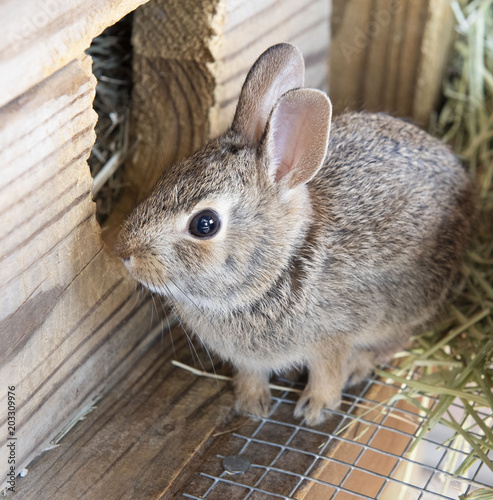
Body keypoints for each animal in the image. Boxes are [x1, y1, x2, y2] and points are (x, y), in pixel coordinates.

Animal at [114, 44, 472, 426]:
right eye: (170, 173)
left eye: (205, 224)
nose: (124, 251)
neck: (282, 266)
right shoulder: (249, 359)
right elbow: (250, 375)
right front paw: (252, 404)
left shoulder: (333, 337)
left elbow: (328, 372)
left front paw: (315, 409)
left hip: (407, 304)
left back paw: (360, 365)